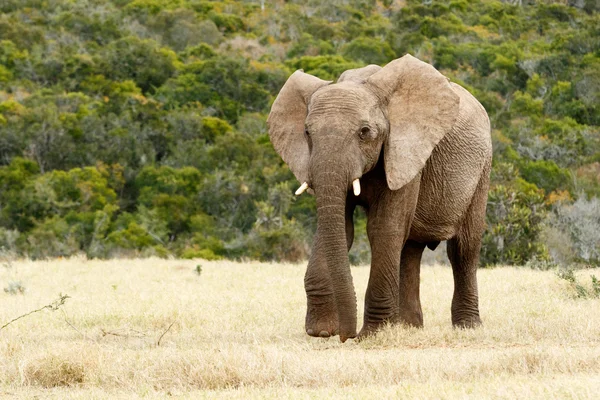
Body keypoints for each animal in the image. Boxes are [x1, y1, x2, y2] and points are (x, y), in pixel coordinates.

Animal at [268, 53, 492, 342]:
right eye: (307, 133)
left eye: (364, 131)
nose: (346, 335)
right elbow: (343, 227)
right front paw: (320, 331)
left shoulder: (406, 152)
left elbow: (383, 228)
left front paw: (372, 335)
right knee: (410, 249)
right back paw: (408, 327)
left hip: (483, 169)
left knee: (463, 248)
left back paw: (467, 327)